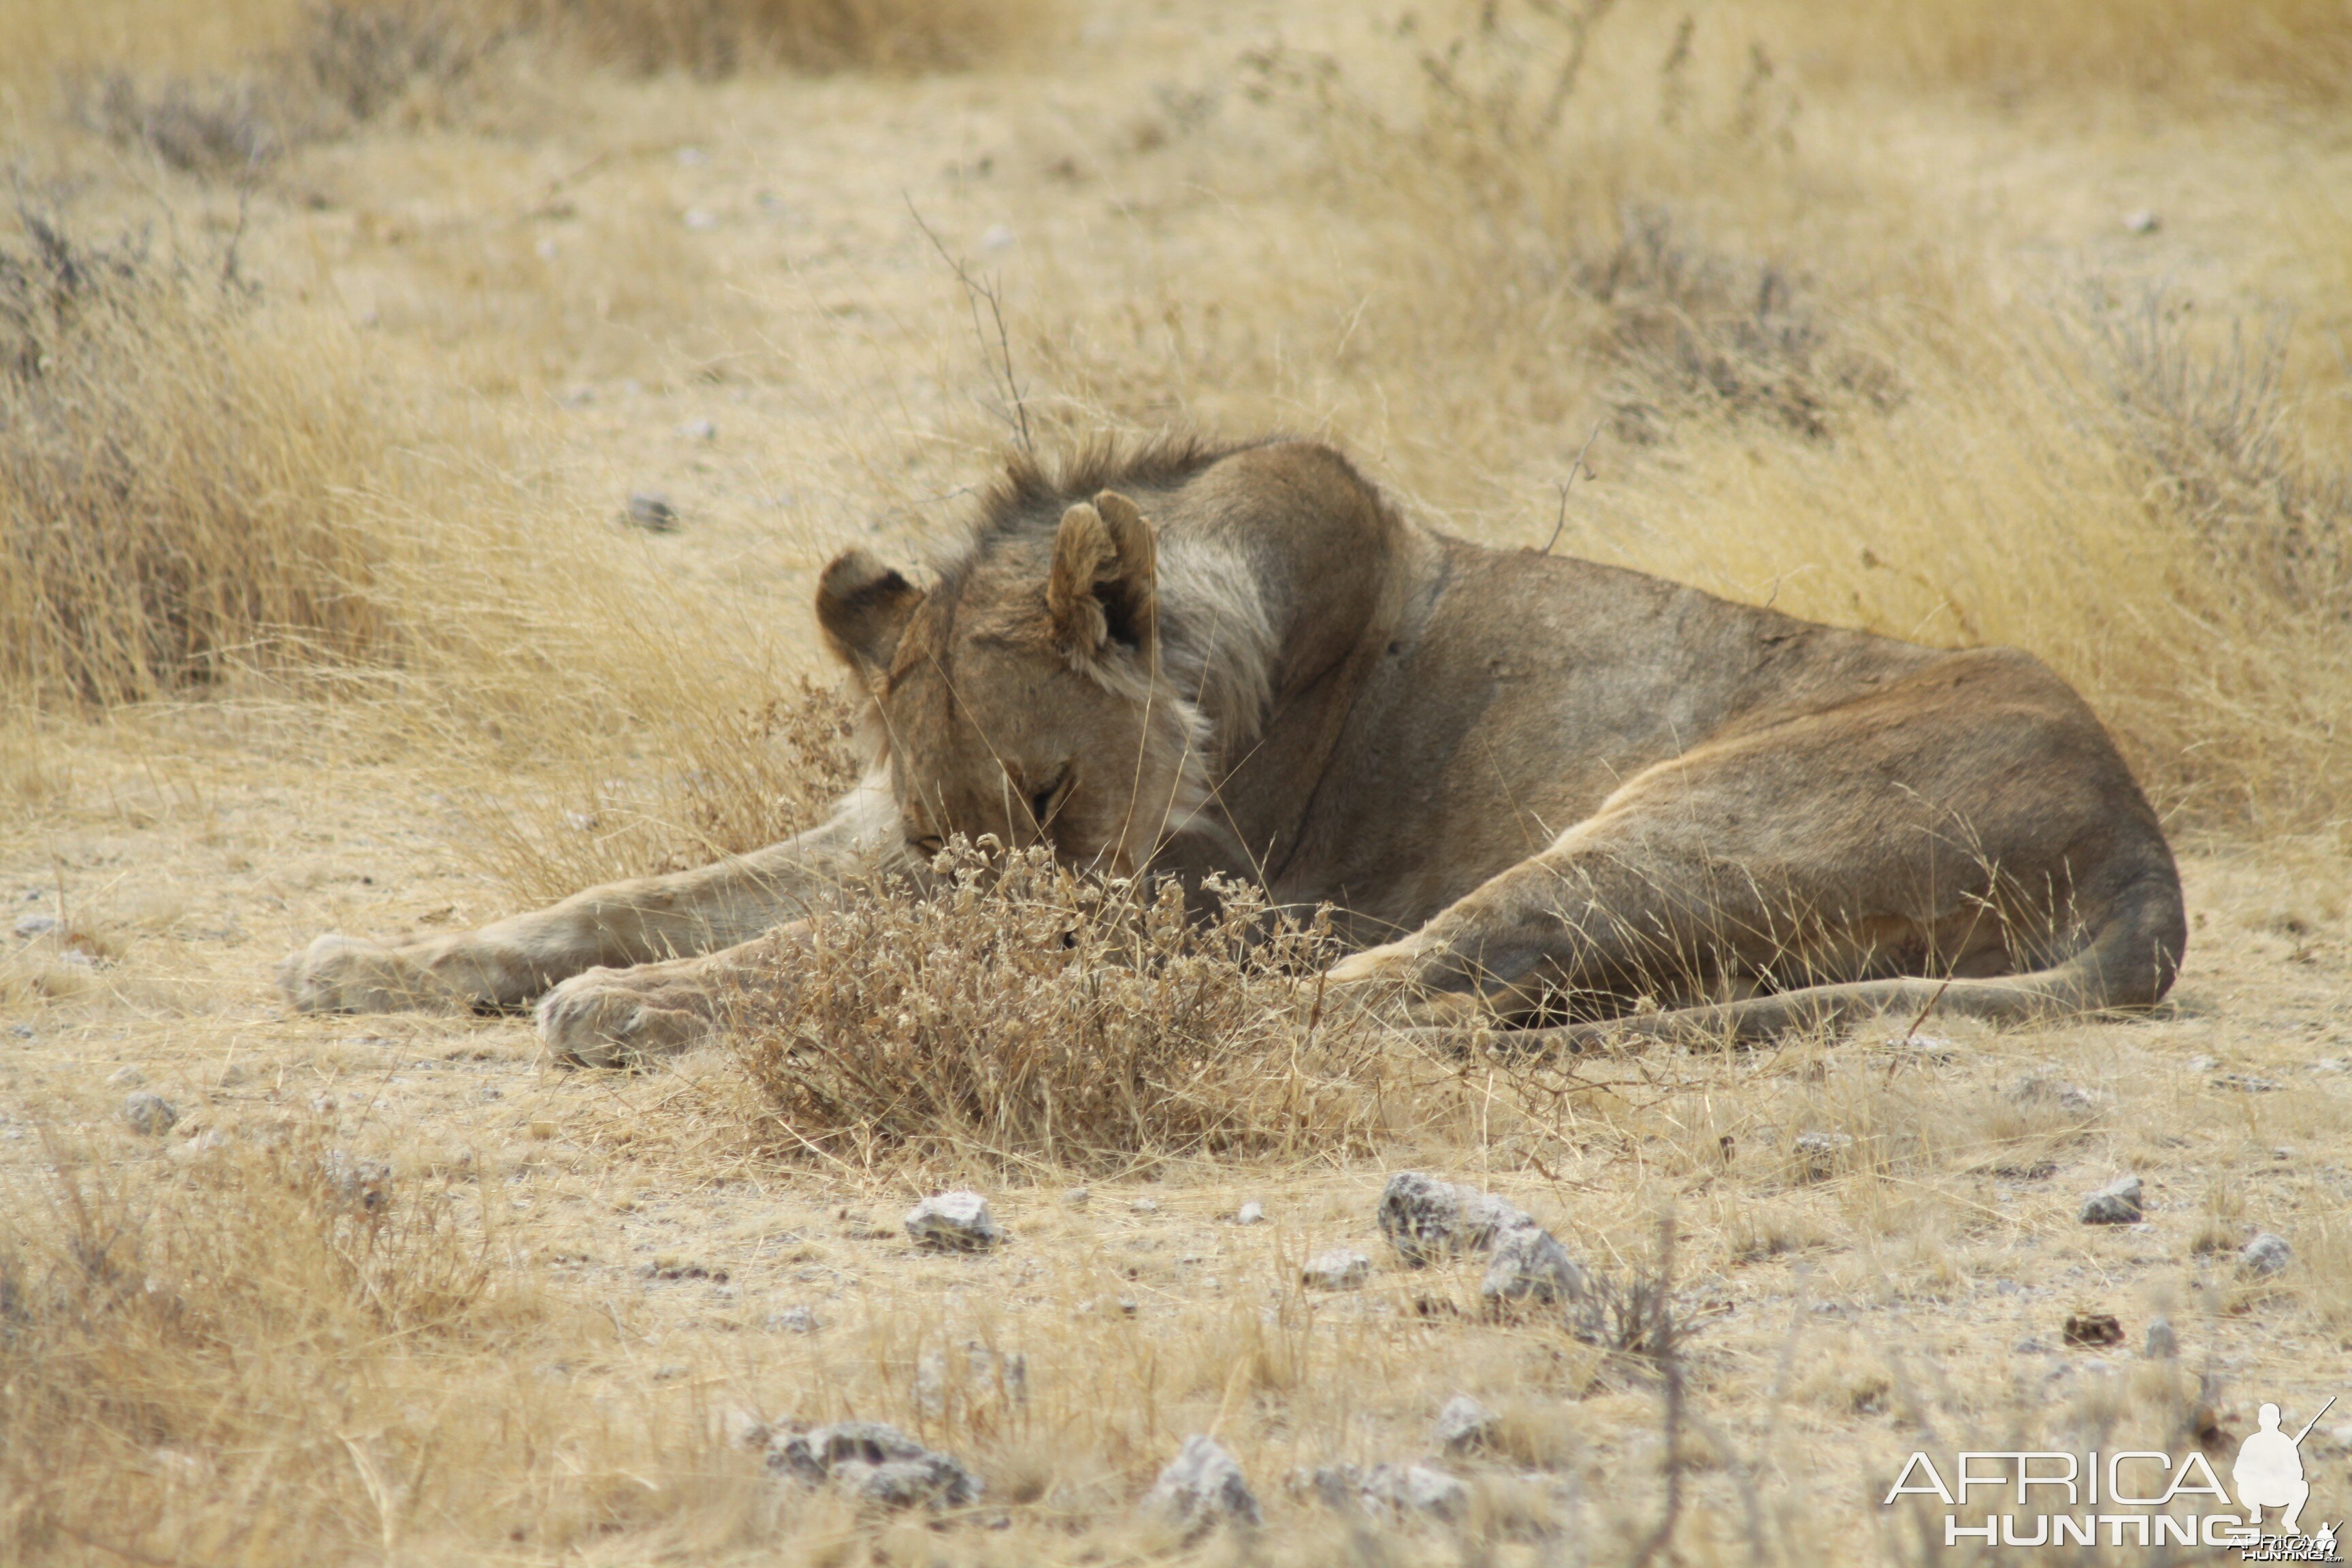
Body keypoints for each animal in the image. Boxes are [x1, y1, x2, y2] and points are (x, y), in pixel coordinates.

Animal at [275, 435, 2183, 1062]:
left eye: (1051, 791)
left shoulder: (1170, 896)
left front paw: (633, 1006)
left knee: (1399, 993)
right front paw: (372, 957)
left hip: (1685, 814)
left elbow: (798, 951)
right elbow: (627, 892)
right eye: (957, 826)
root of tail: (2143, 852)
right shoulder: (873, 839)